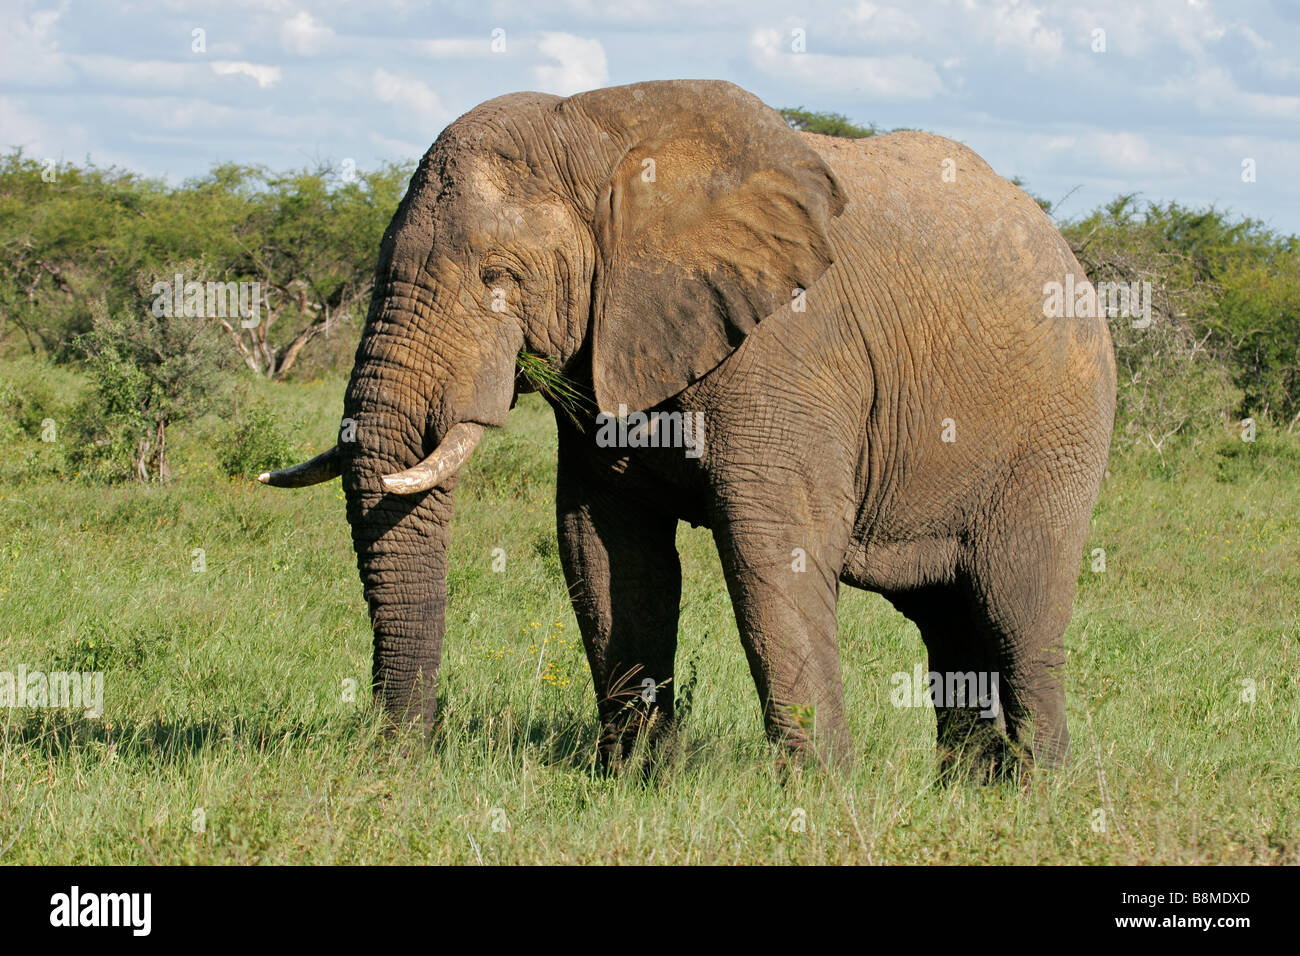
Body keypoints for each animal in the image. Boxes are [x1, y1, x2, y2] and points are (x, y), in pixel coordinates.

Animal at [261, 78, 1118, 775]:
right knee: (949, 618)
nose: (398, 760)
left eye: (497, 276)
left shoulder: (791, 350)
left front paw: (818, 795)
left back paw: (1039, 791)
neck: (598, 136)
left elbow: (774, 546)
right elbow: (605, 547)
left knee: (1016, 607)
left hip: (1061, 430)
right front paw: (630, 781)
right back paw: (969, 788)